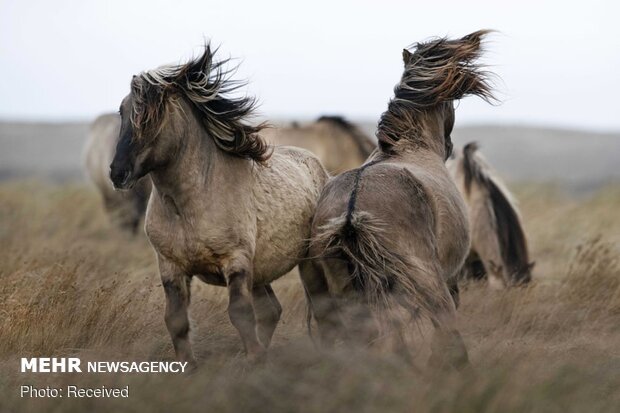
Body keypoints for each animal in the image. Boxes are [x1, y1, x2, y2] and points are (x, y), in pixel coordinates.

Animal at [109, 46, 330, 366]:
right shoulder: (171, 268)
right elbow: (176, 321)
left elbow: (240, 314)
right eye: (122, 111)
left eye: (152, 116)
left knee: (321, 308)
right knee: (272, 310)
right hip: (259, 274)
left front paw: (254, 361)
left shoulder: (235, 262)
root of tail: (319, 168)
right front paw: (190, 368)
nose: (117, 173)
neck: (188, 207)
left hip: (308, 263)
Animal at [306, 31, 494, 366]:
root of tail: (351, 213)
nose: (449, 147)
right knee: (443, 328)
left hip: (335, 296)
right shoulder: (450, 280)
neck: (411, 146)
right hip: (429, 282)